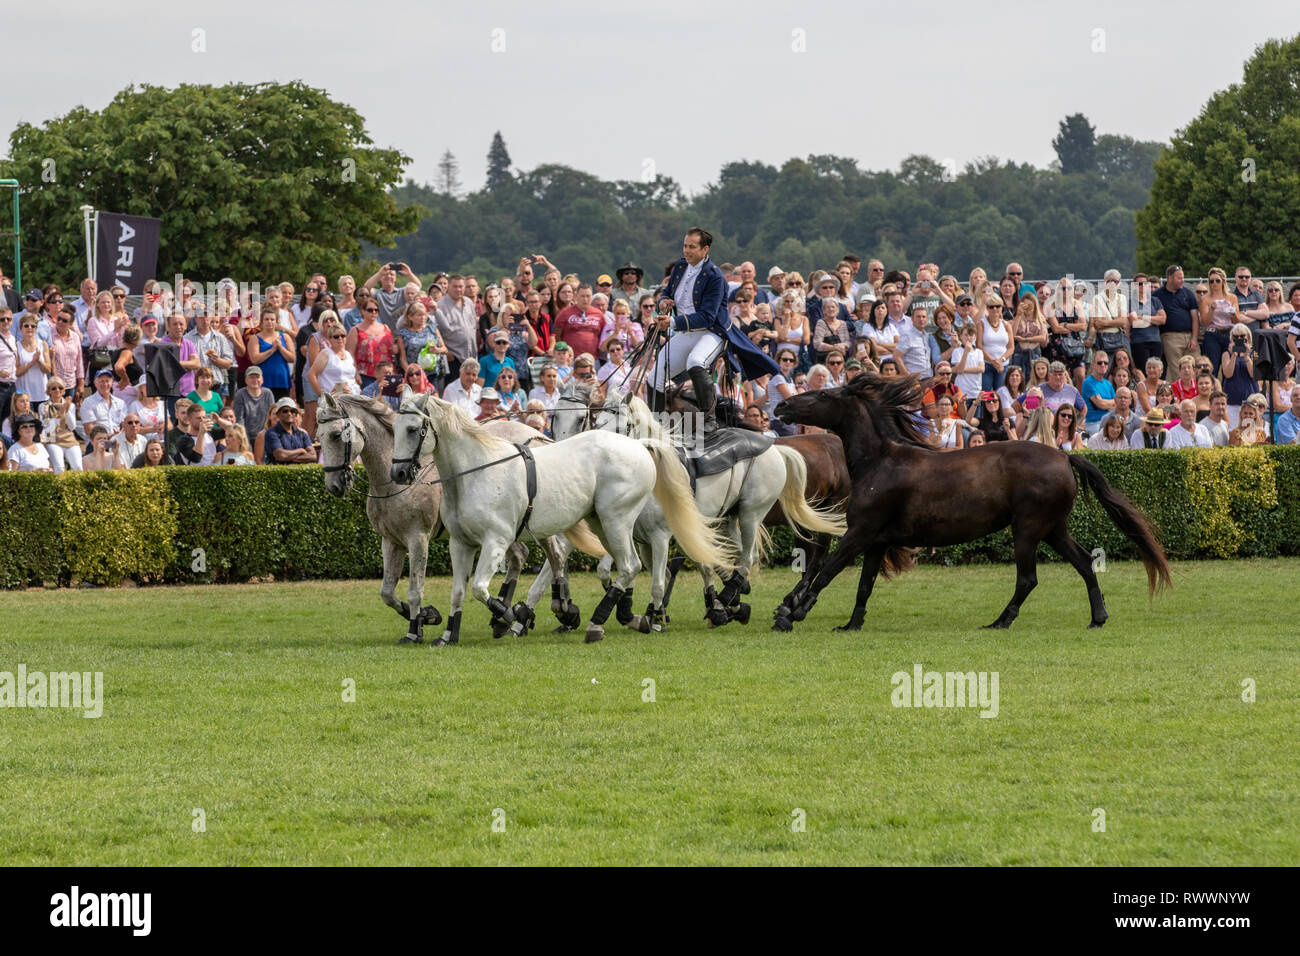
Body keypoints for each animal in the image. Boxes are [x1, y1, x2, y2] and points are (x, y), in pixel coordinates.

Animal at [319, 392, 590, 647]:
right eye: (318, 436)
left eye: (335, 435)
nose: (334, 486)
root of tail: (542, 437)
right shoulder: (391, 541)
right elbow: (387, 592)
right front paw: (426, 615)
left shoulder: (417, 539)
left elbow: (415, 589)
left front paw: (415, 630)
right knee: (527, 556)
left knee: (555, 554)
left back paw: (551, 610)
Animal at [384, 392, 738, 647]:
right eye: (394, 429)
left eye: (413, 430)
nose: (398, 474)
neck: (475, 472)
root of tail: (639, 445)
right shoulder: (461, 544)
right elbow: (459, 592)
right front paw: (448, 635)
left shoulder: (495, 542)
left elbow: (481, 590)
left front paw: (510, 616)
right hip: (602, 524)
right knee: (635, 568)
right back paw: (637, 619)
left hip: (617, 521)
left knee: (631, 567)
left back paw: (599, 623)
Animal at [551, 377, 842, 632]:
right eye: (596, 421)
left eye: (622, 424)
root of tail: (774, 448)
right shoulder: (636, 534)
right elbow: (630, 572)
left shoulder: (659, 535)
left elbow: (659, 580)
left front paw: (654, 617)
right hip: (727, 519)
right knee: (735, 556)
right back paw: (731, 601)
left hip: (750, 514)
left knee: (748, 558)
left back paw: (727, 602)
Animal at [764, 374, 1175, 634]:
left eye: (824, 396)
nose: (781, 406)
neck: (879, 463)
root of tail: (1063, 456)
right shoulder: (877, 541)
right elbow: (863, 586)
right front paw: (850, 624)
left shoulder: (860, 534)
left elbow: (827, 571)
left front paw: (790, 614)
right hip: (1053, 529)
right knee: (1086, 562)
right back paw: (1097, 617)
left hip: (1028, 529)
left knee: (1028, 578)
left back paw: (1000, 621)